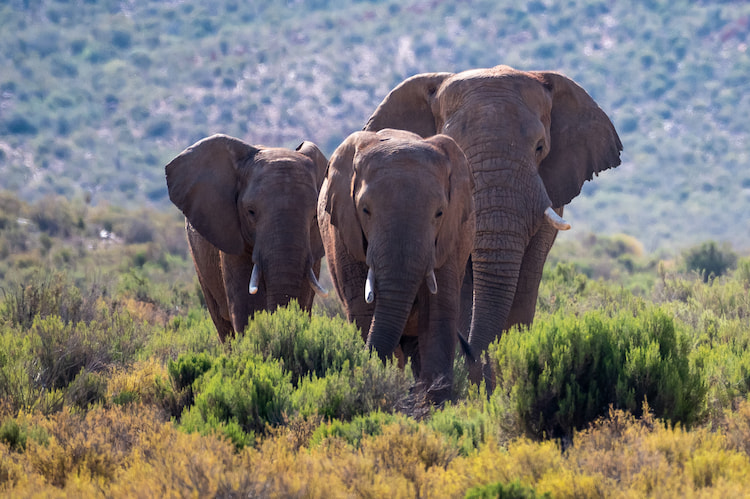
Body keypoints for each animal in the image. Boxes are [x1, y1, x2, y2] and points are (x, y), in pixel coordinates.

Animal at [318, 128, 475, 402]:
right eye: (365, 210)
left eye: (439, 213)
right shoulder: (344, 235)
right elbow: (364, 311)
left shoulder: (451, 236)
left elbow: (438, 310)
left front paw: (435, 403)